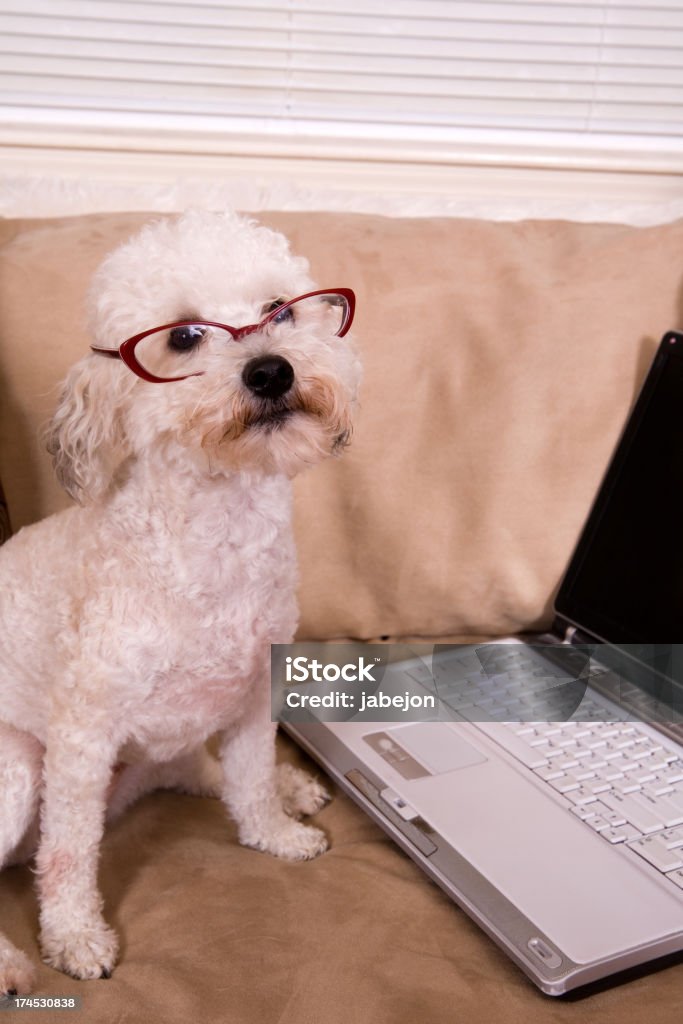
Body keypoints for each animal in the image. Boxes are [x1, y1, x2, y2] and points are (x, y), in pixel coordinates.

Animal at [0, 211, 362, 995]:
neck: (217, 536)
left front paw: (275, 831)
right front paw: (75, 938)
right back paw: (8, 962)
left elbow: (249, 782)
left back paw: (286, 785)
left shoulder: (254, 694)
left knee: (198, 769)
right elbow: (69, 854)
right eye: (185, 337)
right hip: (16, 763)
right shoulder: (81, 739)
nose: (271, 370)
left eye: (279, 311)